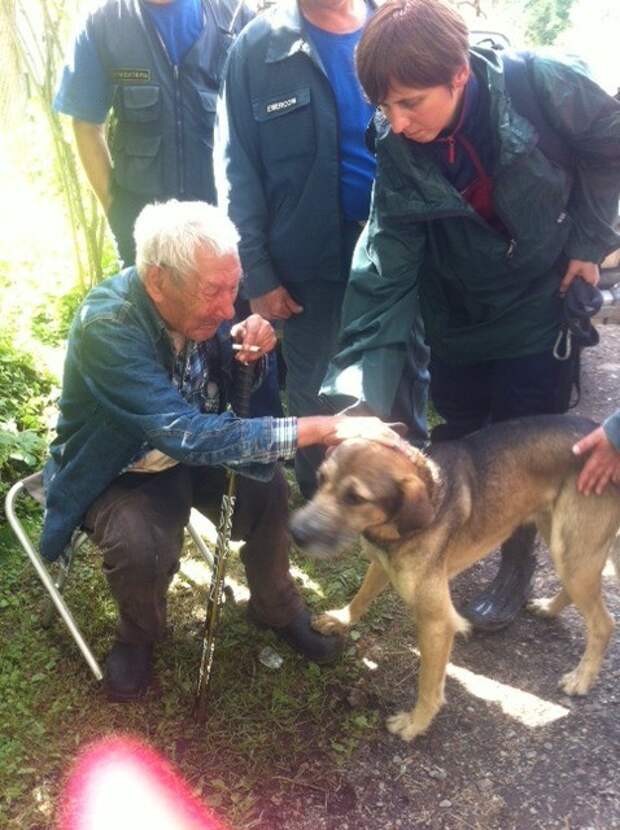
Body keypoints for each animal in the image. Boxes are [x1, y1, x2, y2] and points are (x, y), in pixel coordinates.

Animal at [290, 420, 620, 744]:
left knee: (604, 623)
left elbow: (428, 684)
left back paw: (581, 677)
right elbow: (361, 597)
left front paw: (416, 723)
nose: (294, 532)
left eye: (355, 498)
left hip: (574, 551)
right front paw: (339, 619)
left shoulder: (437, 622)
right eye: (321, 478)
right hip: (560, 541)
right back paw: (550, 608)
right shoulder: (382, 564)